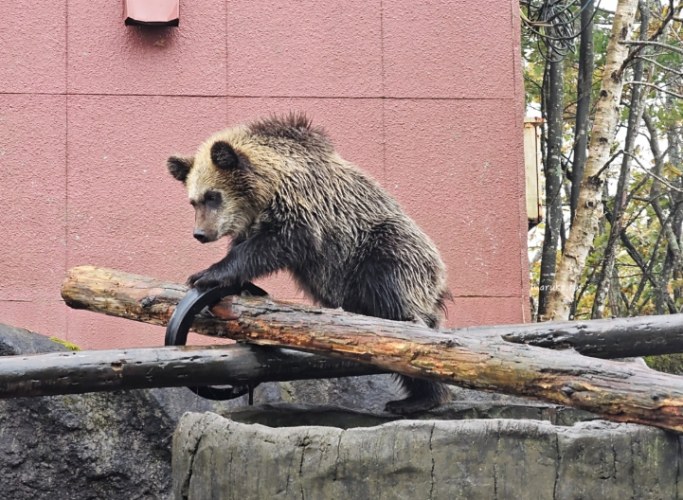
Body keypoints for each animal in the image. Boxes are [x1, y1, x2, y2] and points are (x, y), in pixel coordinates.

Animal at [167, 113, 451, 414]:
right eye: (193, 201)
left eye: (213, 196)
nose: (200, 234)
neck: (266, 191)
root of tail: (440, 279)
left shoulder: (304, 215)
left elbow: (270, 246)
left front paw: (206, 274)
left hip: (383, 253)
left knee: (399, 309)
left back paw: (420, 397)